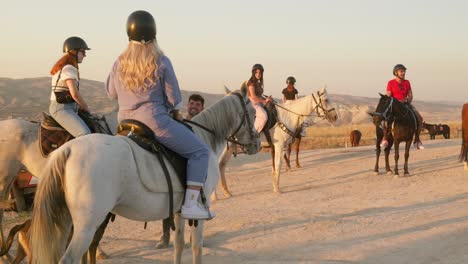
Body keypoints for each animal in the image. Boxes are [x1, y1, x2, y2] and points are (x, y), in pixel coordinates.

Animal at [31, 88, 262, 264]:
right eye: (252, 111)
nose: (257, 144)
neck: (204, 138)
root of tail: (68, 149)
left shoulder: (179, 210)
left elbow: (179, 245)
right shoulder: (199, 212)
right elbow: (197, 248)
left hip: (65, 223)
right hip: (86, 226)